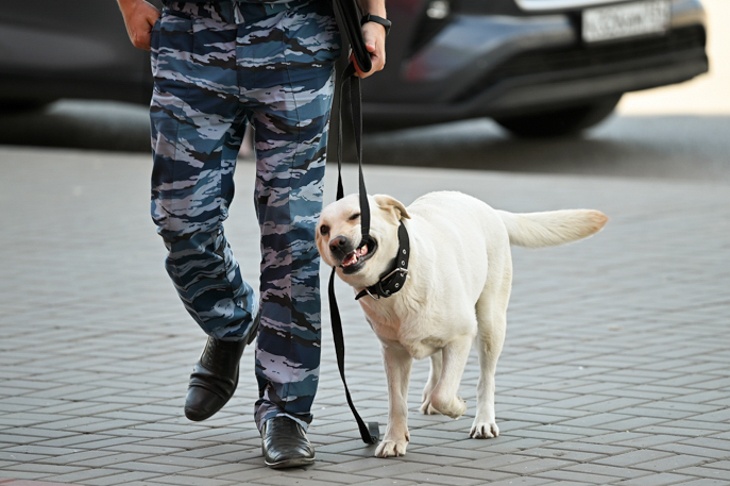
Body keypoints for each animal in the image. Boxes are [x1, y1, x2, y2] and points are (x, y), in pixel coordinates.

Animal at [316, 192, 604, 458]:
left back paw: (484, 421)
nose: (337, 243)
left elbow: (444, 393)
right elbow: (397, 402)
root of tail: (489, 209)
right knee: (437, 361)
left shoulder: (462, 336)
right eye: (323, 229)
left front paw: (457, 406)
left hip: (490, 323)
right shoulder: (393, 352)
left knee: (485, 378)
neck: (397, 279)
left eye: (356, 216)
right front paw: (394, 440)